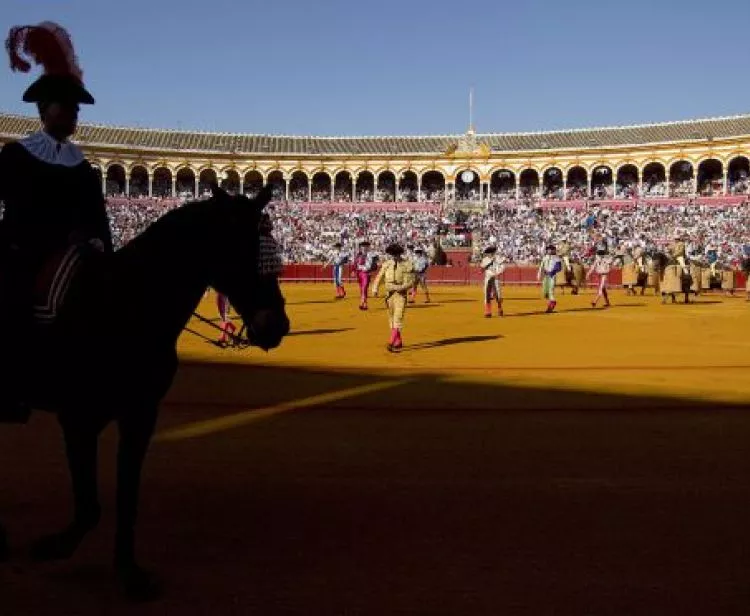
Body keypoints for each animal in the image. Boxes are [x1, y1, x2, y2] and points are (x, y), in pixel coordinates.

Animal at [0, 184, 290, 600]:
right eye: (237, 247)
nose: (276, 325)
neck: (126, 302)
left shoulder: (140, 414)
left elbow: (127, 494)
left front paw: (129, 571)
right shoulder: (78, 416)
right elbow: (89, 504)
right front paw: (54, 545)